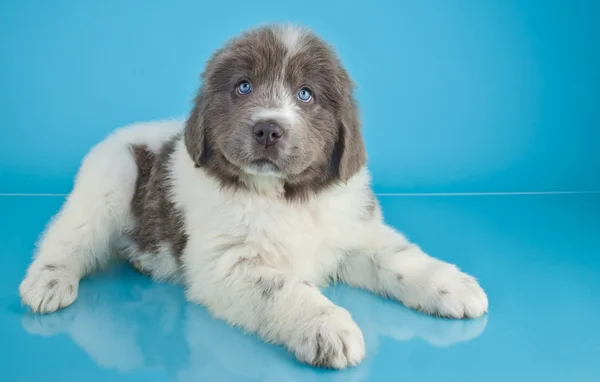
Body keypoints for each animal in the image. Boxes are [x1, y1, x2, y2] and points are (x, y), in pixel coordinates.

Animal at [19, 23, 488, 368]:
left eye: (306, 95)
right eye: (243, 87)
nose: (267, 129)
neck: (286, 197)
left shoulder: (351, 231)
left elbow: (398, 257)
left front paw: (451, 285)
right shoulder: (228, 263)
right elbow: (284, 288)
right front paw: (327, 327)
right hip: (110, 178)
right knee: (68, 235)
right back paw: (47, 281)